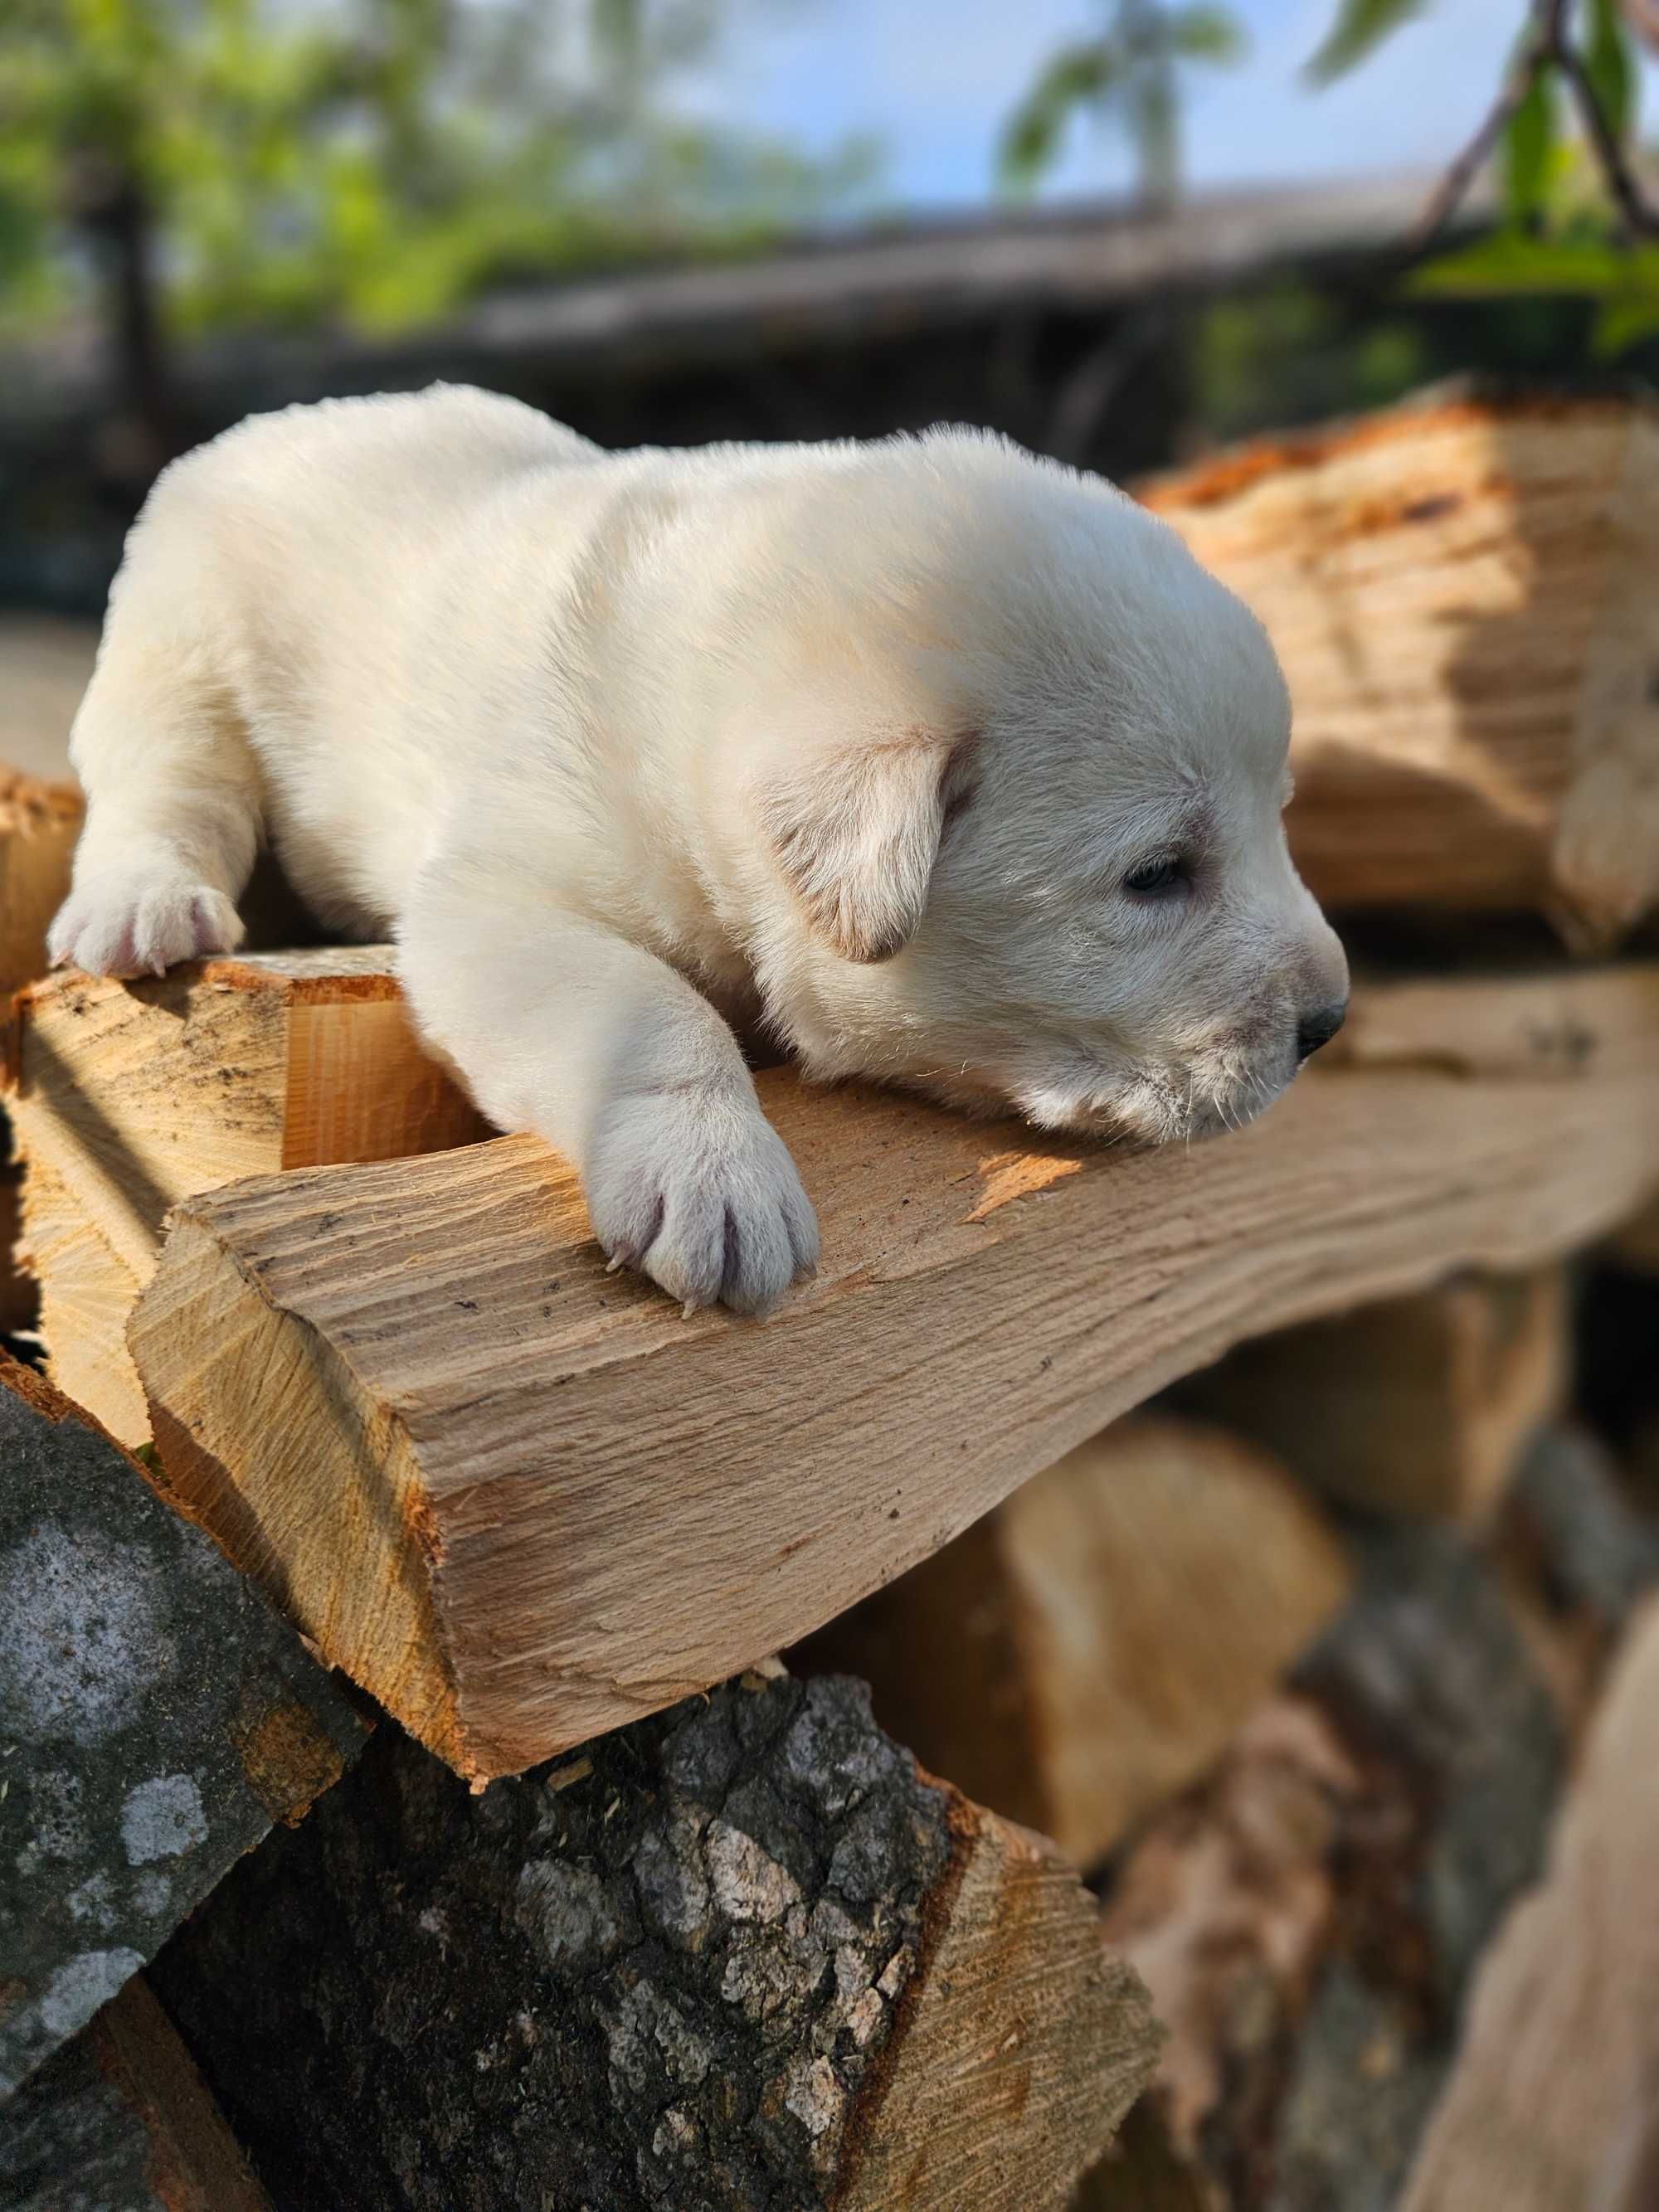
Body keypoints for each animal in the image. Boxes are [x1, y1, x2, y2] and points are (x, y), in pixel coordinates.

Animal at [55, 382, 1354, 1309]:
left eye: (1276, 821)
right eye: (1154, 875)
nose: (1330, 1021)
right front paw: (715, 1176)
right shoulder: (503, 893)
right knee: (165, 777)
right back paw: (143, 901)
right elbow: (647, 1006)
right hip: (181, 636)